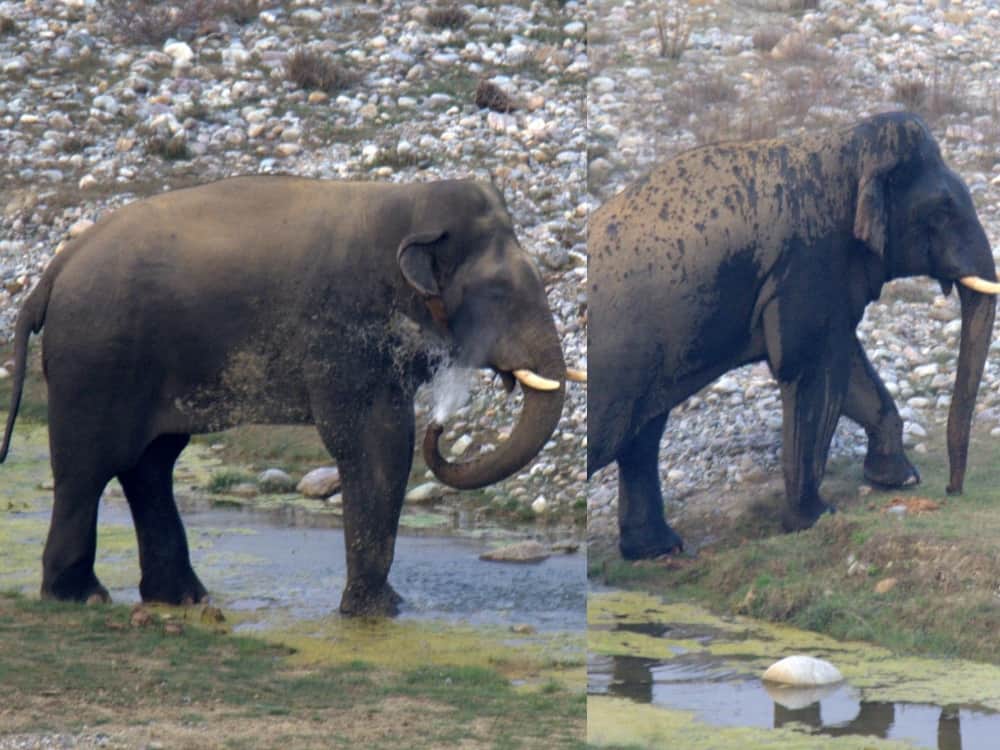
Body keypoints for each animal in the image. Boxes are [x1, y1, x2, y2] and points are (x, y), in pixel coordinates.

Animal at [0, 176, 584, 615]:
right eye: (500, 292)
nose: (442, 426)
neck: (408, 202)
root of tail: (52, 271)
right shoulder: (344, 331)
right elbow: (376, 443)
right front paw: (379, 612)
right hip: (96, 359)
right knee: (89, 467)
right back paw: (82, 597)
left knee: (150, 464)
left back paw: (183, 598)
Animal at [588, 112, 998, 559]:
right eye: (942, 211)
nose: (952, 491)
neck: (843, 148)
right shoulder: (806, 261)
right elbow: (811, 371)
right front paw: (816, 518)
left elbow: (847, 364)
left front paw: (897, 479)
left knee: (642, 436)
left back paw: (658, 550)